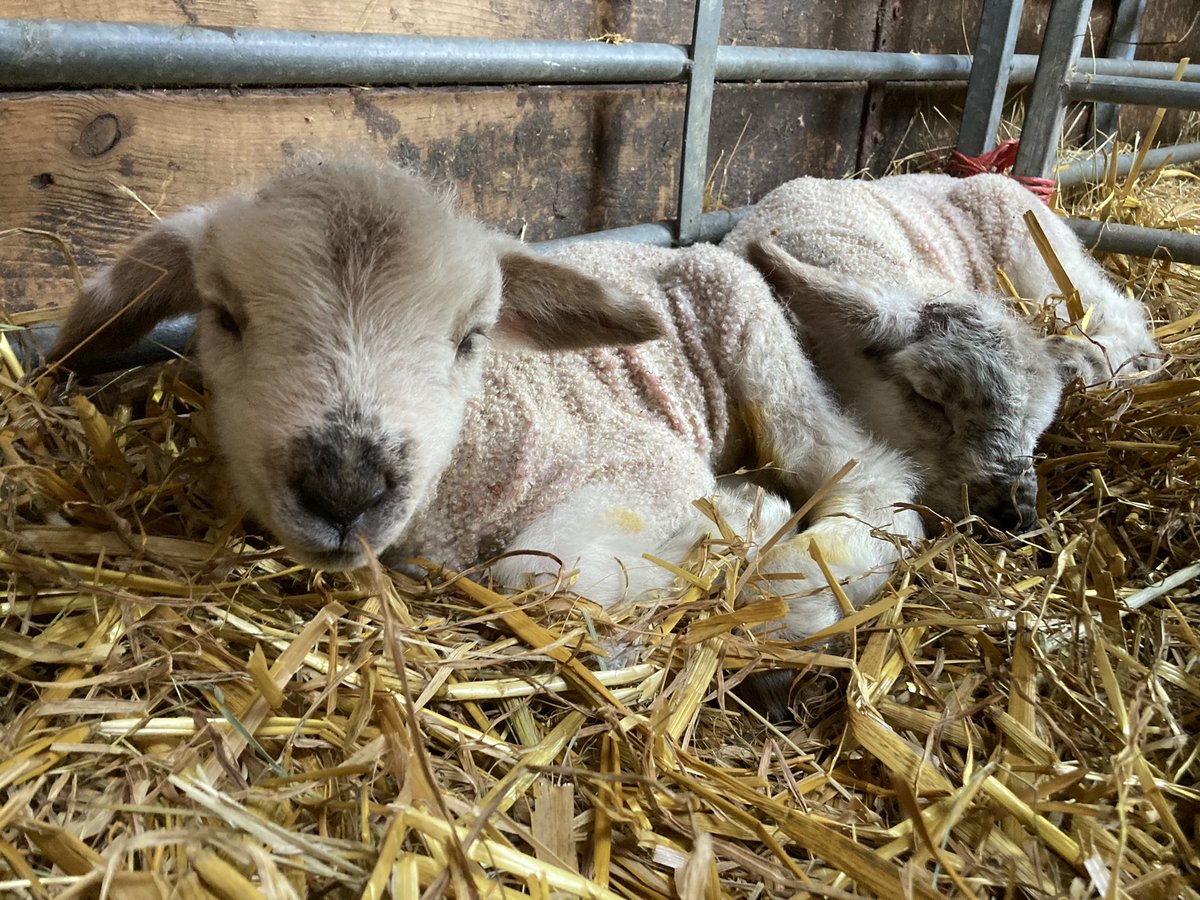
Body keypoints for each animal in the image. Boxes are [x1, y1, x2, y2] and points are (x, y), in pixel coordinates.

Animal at [49, 154, 916, 667]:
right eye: (225, 317)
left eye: (471, 337)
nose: (344, 489)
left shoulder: (650, 464)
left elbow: (533, 573)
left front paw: (737, 521)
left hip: (760, 352)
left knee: (872, 473)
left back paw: (814, 555)